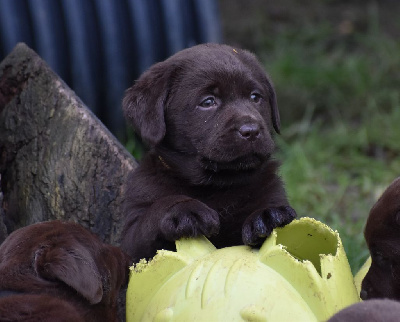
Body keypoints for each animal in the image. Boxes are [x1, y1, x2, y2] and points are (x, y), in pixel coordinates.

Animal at [120, 42, 296, 262]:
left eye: (255, 97)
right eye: (208, 102)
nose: (251, 130)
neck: (216, 185)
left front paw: (268, 215)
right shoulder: (133, 241)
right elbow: (155, 213)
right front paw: (183, 210)